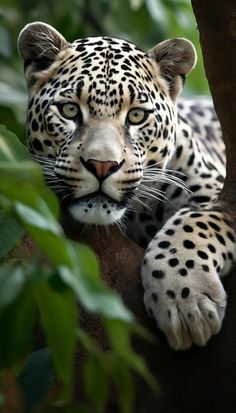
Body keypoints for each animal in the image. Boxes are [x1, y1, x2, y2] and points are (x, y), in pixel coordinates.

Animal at [18, 22, 236, 350]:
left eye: (136, 115)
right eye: (69, 110)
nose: (102, 166)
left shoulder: (213, 186)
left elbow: (194, 222)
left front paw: (186, 298)